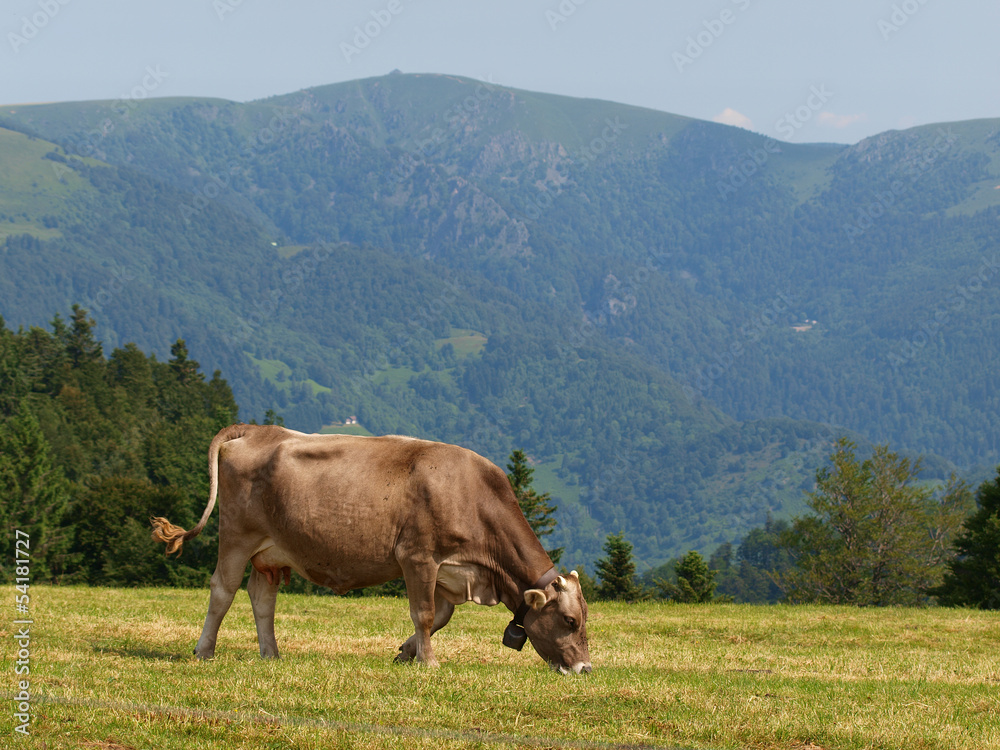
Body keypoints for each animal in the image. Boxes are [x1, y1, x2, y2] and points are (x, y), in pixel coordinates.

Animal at [146, 424, 584, 676]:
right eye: (570, 621)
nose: (585, 667)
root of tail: (257, 429)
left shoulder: (448, 572)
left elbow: (439, 617)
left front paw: (406, 653)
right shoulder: (418, 557)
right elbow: (425, 614)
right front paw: (429, 662)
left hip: (271, 551)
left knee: (261, 596)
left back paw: (271, 654)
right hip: (238, 535)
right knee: (222, 590)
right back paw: (204, 651)